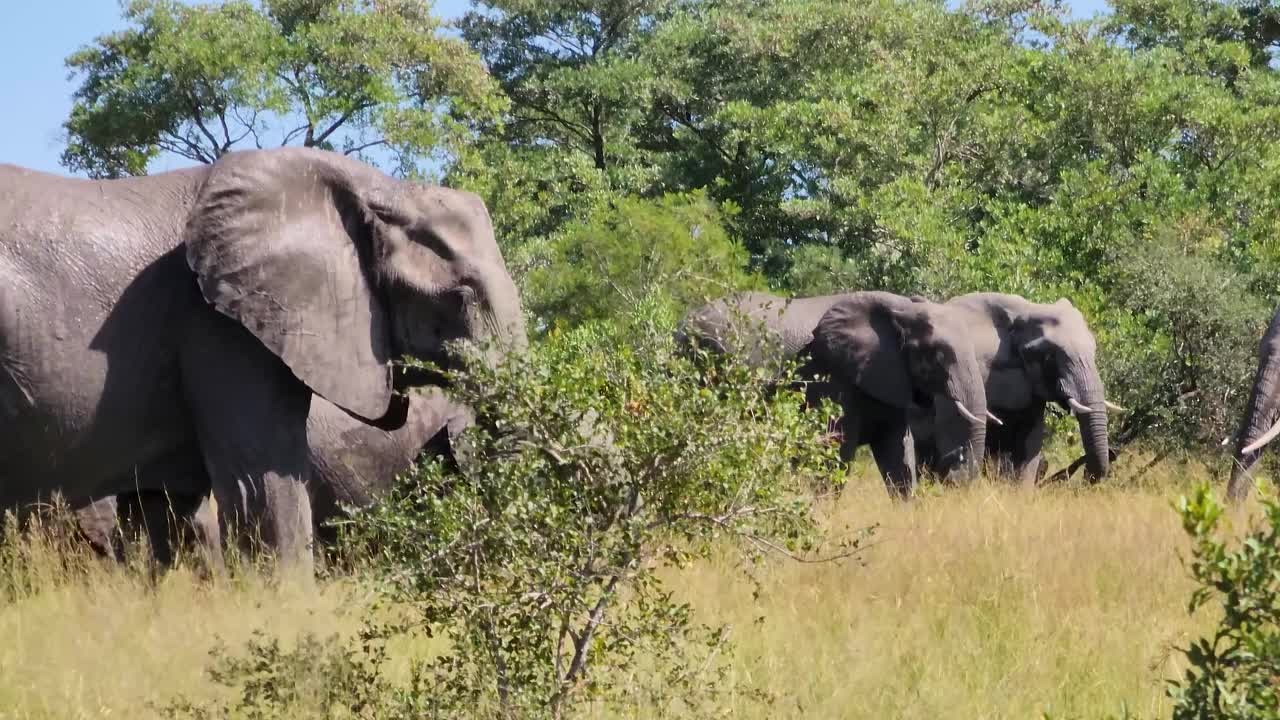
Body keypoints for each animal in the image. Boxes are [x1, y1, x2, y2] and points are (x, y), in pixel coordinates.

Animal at [803, 288, 993, 497]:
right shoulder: (832, 375)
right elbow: (834, 448)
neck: (902, 309)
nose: (958, 455)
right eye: (939, 356)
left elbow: (896, 452)